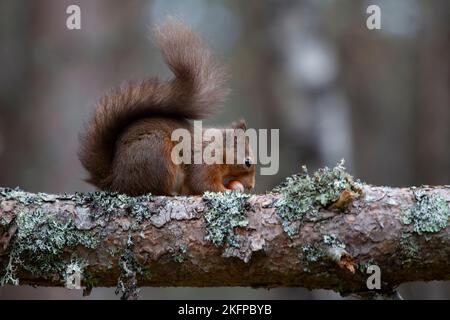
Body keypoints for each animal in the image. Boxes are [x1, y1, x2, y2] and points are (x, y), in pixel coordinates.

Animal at [78, 20, 255, 196]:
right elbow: (202, 184)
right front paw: (227, 190)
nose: (251, 186)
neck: (218, 147)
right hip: (158, 154)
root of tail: (115, 180)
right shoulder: (205, 161)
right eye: (247, 162)